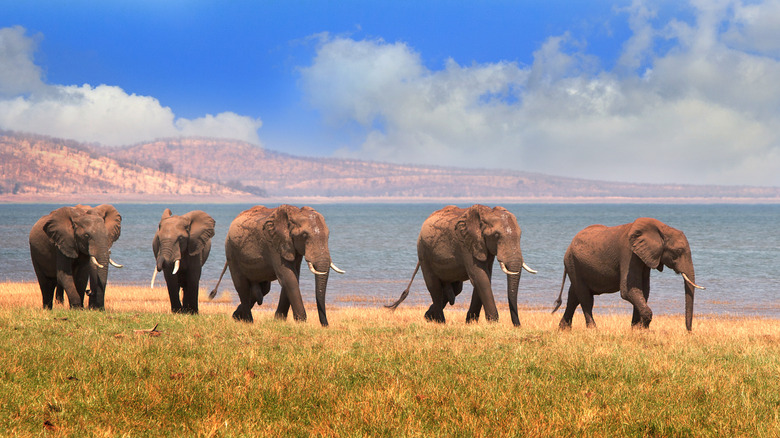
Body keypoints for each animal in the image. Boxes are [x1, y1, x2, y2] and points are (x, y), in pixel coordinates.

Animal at [209, 205, 344, 326]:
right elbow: (288, 277)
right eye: (304, 236)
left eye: (328, 235)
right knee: (242, 287)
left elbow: (294, 276)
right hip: (232, 253)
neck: (294, 213)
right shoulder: (273, 244)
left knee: (263, 290)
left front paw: (279, 321)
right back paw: (248, 322)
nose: (325, 325)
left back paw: (236, 317)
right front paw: (301, 322)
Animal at [386, 205, 536, 326]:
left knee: (455, 290)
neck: (486, 212)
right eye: (496, 235)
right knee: (434, 287)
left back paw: (428, 317)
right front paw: (493, 323)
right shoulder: (465, 244)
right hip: (424, 254)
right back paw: (440, 322)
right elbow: (480, 277)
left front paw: (471, 323)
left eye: (521, 235)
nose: (518, 325)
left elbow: (485, 277)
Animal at [552, 217, 705, 331]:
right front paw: (644, 329)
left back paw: (563, 330)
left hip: (575, 265)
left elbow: (643, 290)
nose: (689, 331)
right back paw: (593, 330)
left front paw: (637, 330)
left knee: (574, 296)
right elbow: (628, 290)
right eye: (678, 251)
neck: (662, 228)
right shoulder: (629, 253)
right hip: (573, 263)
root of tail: (569, 245)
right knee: (585, 298)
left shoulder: (644, 257)